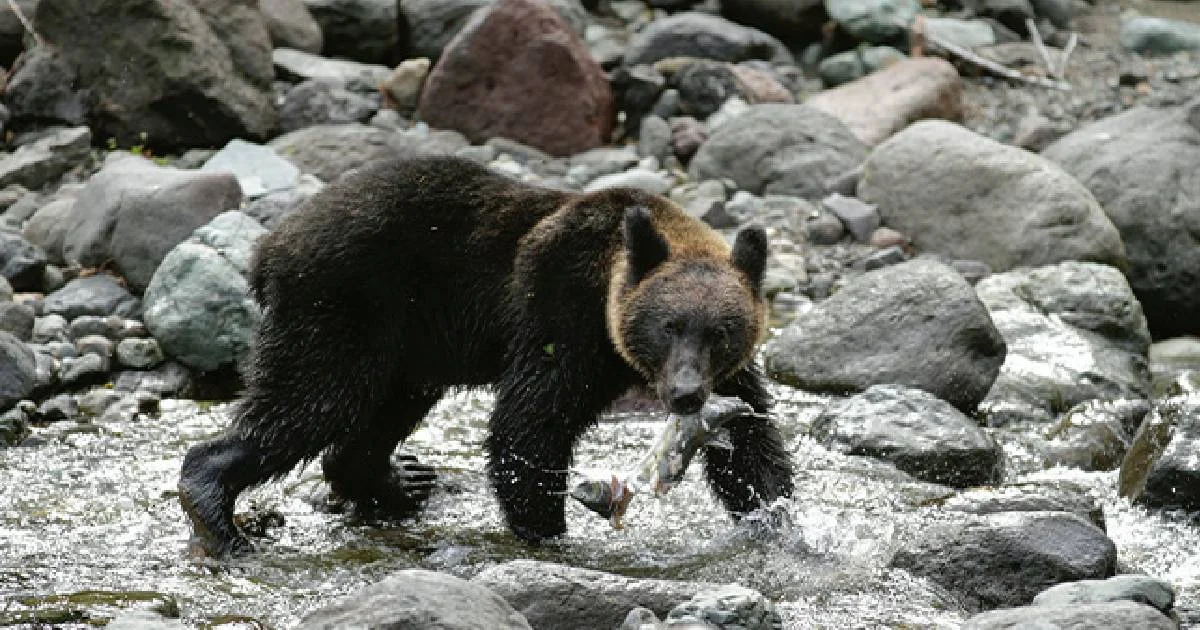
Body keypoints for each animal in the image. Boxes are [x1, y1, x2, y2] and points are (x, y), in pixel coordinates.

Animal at [178, 155, 794, 556]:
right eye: (668, 327)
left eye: (721, 332)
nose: (686, 394)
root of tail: (268, 247)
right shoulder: (561, 313)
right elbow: (530, 421)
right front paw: (548, 530)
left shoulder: (729, 377)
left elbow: (751, 442)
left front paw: (776, 520)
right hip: (342, 306)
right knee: (310, 402)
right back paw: (217, 513)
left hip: (408, 344)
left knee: (375, 414)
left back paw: (401, 479)